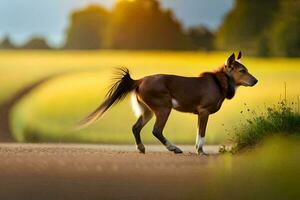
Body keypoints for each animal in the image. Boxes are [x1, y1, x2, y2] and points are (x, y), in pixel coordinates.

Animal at [78, 51, 258, 155]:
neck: (219, 83)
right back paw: (174, 148)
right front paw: (201, 151)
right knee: (156, 130)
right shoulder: (204, 111)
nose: (256, 80)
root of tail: (139, 81)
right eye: (242, 71)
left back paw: (141, 148)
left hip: (148, 111)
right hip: (164, 107)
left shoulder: (199, 114)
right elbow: (201, 134)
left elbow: (198, 132)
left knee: (135, 127)